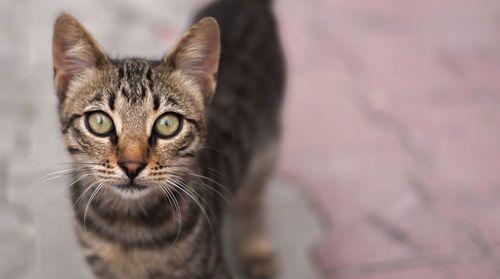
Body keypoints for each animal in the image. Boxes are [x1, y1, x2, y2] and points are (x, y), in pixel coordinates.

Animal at [52, 0, 286, 278]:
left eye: (167, 124)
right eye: (100, 122)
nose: (132, 165)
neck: (129, 229)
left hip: (269, 143)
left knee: (253, 196)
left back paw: (257, 249)